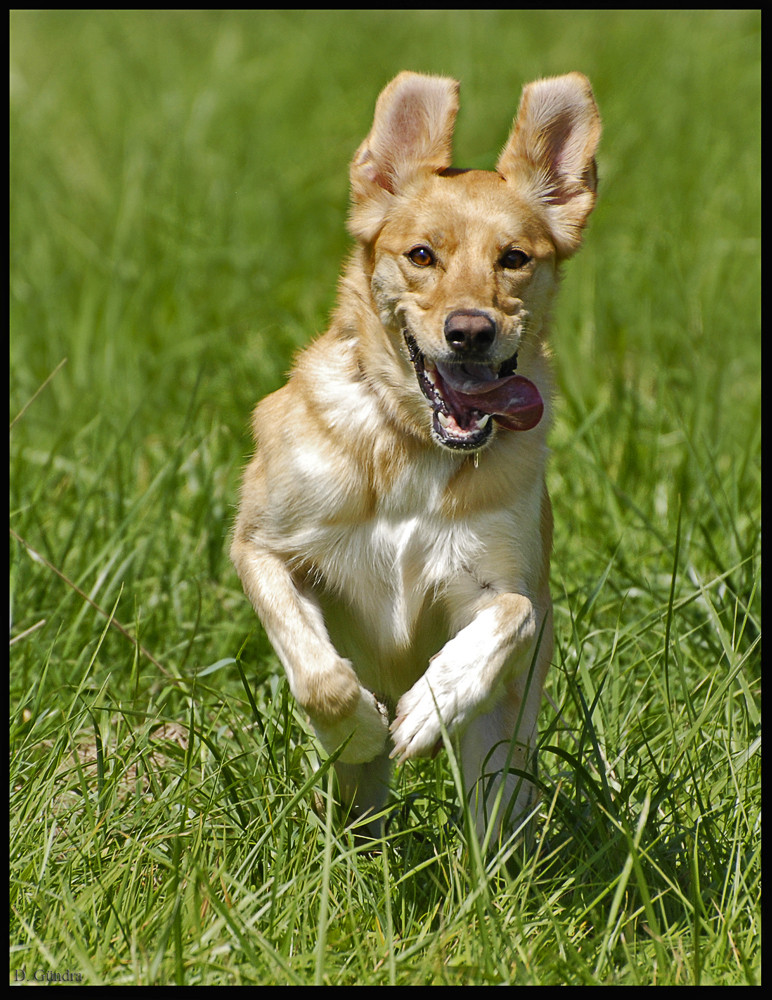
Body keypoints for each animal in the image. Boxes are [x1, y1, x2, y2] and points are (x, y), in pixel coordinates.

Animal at [231, 68, 604, 836]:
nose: (470, 331)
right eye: (422, 255)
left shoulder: (505, 582)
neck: (412, 450)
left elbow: (515, 613)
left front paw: (430, 705)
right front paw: (360, 726)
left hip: (504, 749)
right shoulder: (263, 546)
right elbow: (318, 677)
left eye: (514, 259)